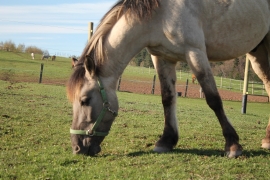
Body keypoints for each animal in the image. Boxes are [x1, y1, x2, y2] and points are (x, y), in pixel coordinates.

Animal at [66, 0, 270, 158]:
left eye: (85, 100)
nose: (77, 147)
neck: (161, 14)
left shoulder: (195, 52)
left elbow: (213, 99)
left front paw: (232, 144)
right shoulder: (162, 58)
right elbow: (167, 98)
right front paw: (166, 141)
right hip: (257, 53)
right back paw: (268, 138)